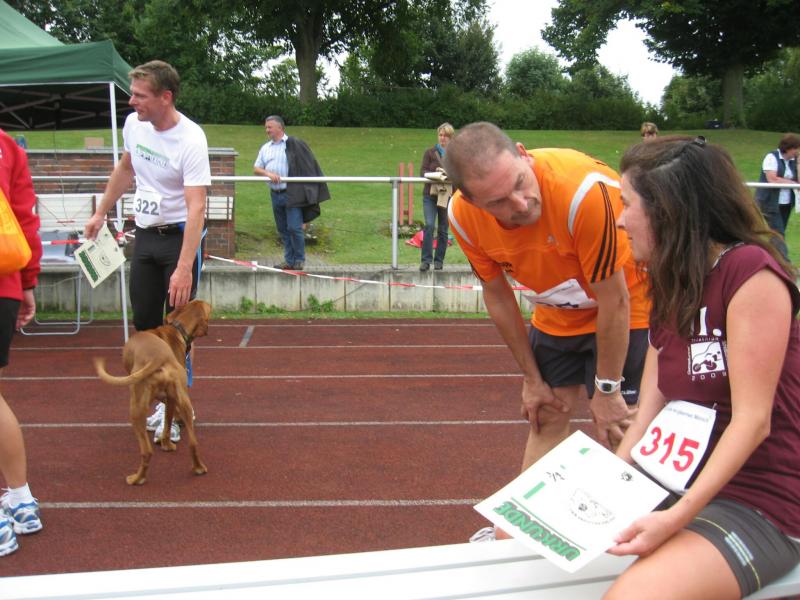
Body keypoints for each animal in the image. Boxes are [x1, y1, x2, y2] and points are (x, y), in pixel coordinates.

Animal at [94, 300, 212, 485]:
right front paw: (167, 443)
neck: (178, 329)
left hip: (135, 407)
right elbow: (168, 421)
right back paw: (198, 468)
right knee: (193, 443)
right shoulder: (172, 398)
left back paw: (137, 478)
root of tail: (158, 357)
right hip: (182, 399)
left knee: (146, 451)